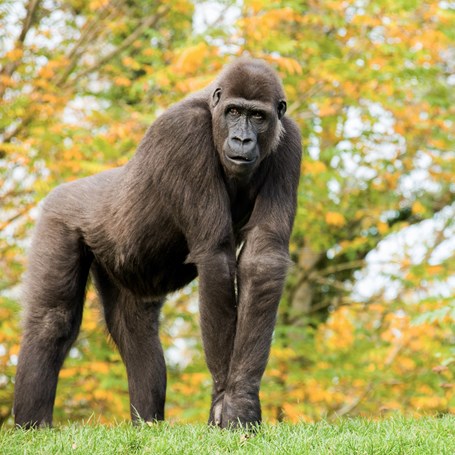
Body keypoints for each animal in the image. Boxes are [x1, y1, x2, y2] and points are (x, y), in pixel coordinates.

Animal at [13, 56, 302, 428]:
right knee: (52, 321)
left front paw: (241, 396)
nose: (241, 138)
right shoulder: (184, 133)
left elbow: (262, 259)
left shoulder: (290, 142)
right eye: (234, 111)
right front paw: (227, 398)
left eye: (258, 116)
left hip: (122, 265)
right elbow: (216, 257)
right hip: (59, 214)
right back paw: (32, 427)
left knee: (137, 331)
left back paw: (147, 422)